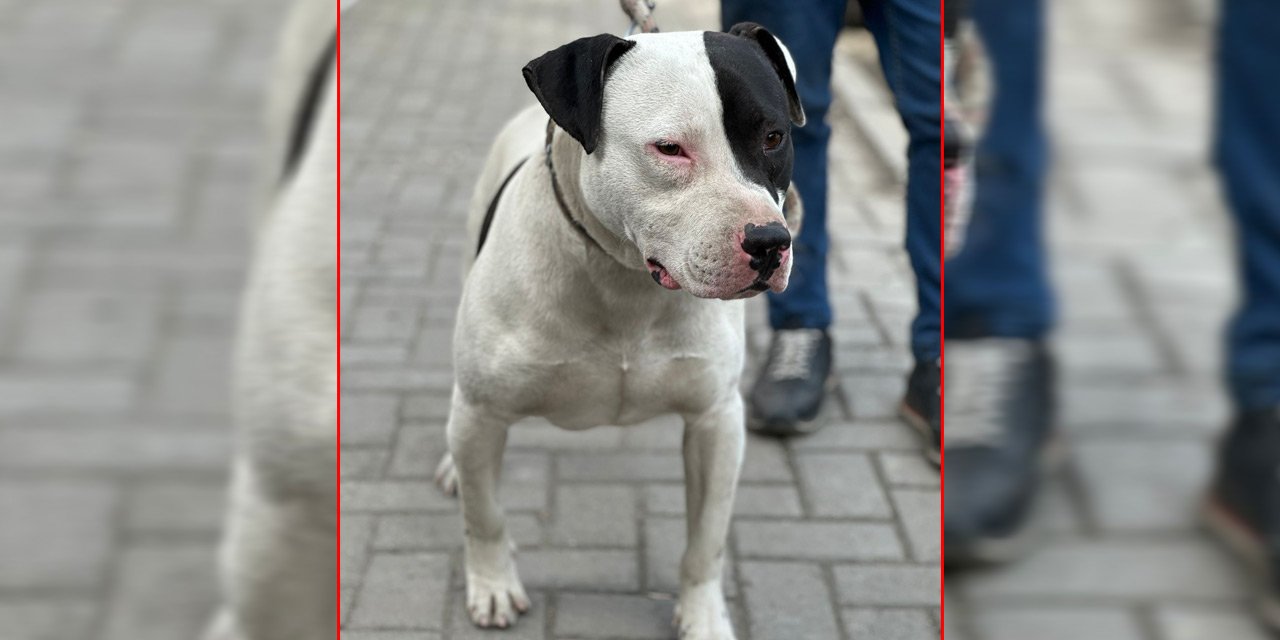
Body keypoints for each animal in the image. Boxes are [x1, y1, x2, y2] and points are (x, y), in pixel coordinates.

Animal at [435, 22, 803, 637]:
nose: (769, 241)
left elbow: (707, 541)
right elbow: (484, 517)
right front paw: (493, 584)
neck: (625, 279)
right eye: (670, 148)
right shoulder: (483, 414)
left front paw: (704, 615)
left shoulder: (716, 421)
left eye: (774, 137)